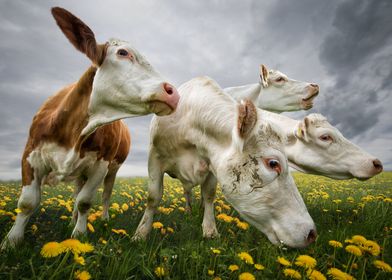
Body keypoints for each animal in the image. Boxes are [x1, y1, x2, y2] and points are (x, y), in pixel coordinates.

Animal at [0, 6, 179, 248]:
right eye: (123, 53)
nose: (173, 92)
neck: (72, 132)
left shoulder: (100, 165)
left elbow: (85, 201)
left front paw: (79, 234)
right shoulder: (30, 155)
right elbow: (27, 202)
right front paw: (11, 241)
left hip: (112, 170)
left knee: (104, 195)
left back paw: (101, 218)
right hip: (79, 173)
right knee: (76, 193)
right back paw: (71, 220)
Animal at [133, 76, 316, 247]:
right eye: (273, 163)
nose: (312, 233)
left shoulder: (212, 166)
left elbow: (208, 195)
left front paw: (210, 230)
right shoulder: (155, 158)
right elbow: (153, 197)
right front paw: (141, 233)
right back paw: (188, 210)